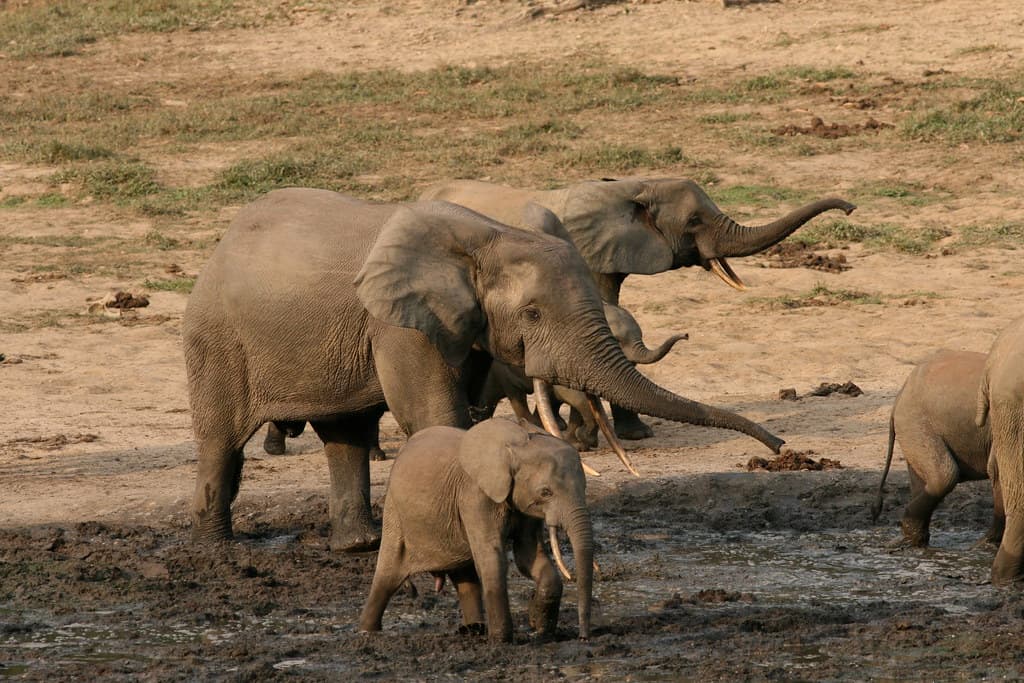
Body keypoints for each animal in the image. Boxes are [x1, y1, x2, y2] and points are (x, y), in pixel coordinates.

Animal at [183, 188, 784, 552]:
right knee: (221, 442)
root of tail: (218, 245)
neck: (489, 236)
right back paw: (217, 547)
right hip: (216, 338)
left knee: (346, 436)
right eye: (534, 313)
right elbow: (433, 415)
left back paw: (360, 546)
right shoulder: (399, 323)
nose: (778, 447)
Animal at [359, 418, 592, 643]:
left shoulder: (523, 504)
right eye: (546, 492)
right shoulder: (475, 496)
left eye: (584, 487)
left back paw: (474, 630)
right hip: (395, 513)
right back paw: (367, 632)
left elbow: (527, 555)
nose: (583, 638)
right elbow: (492, 557)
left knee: (466, 580)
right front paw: (501, 641)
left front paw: (540, 628)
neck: (515, 447)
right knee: (387, 577)